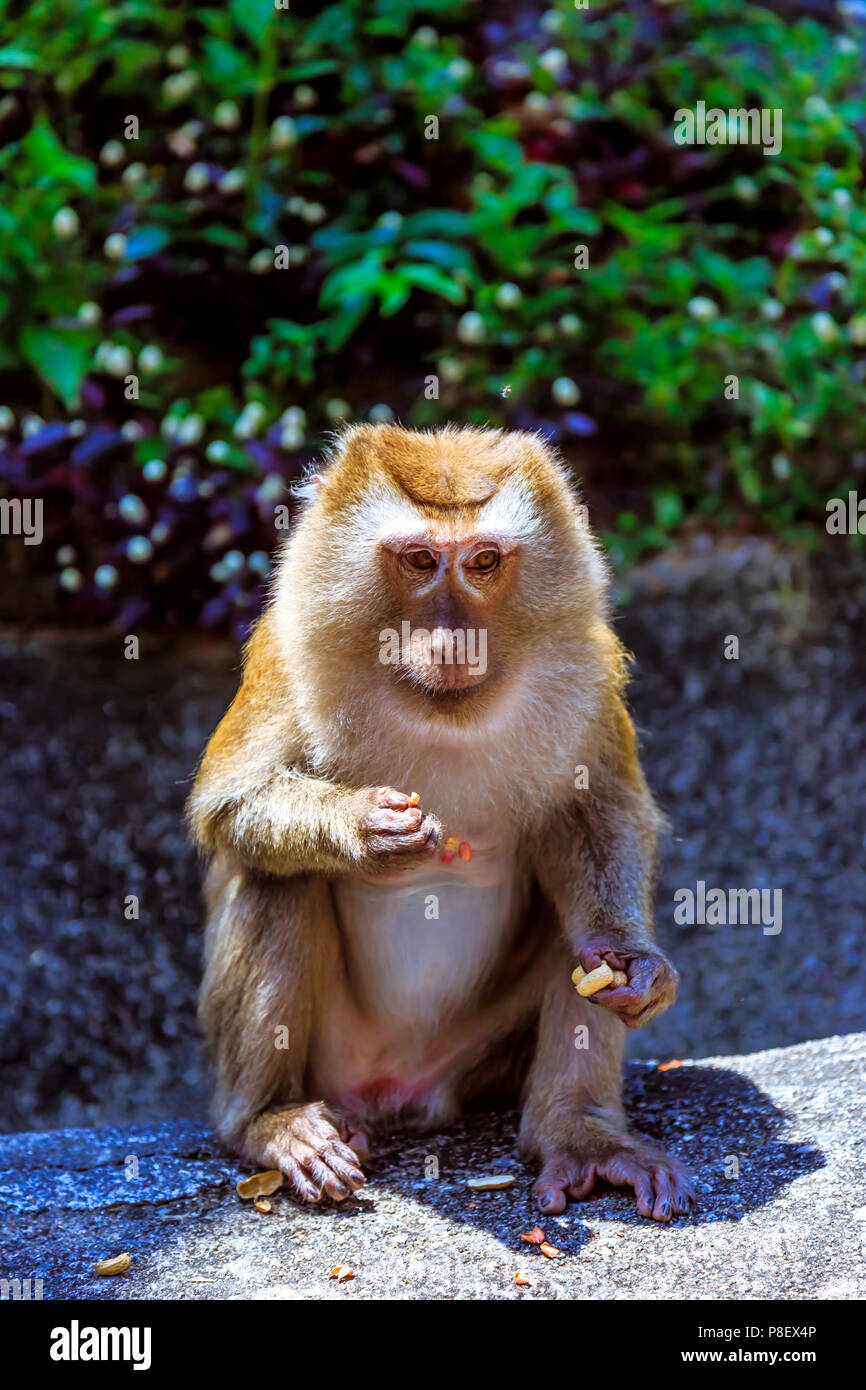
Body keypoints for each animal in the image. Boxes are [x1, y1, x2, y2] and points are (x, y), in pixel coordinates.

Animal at [187, 423, 695, 1222]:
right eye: (422, 561)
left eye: (483, 562)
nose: (455, 639)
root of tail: (395, 1090)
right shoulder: (286, 648)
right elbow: (230, 804)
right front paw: (364, 832)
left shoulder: (588, 666)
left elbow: (596, 813)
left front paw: (636, 962)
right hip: (333, 1060)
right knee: (276, 881)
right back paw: (269, 1122)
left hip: (476, 1062)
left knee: (575, 933)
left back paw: (579, 1132)